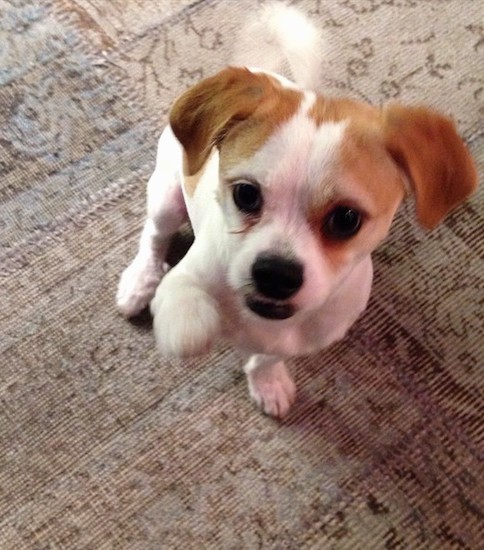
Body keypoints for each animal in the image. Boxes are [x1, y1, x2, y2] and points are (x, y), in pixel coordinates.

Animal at [116, 3, 476, 418]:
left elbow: (266, 357)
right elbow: (183, 293)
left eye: (347, 219)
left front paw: (267, 381)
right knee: (153, 236)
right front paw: (187, 323)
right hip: (168, 196)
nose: (275, 274)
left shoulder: (302, 338)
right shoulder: (190, 274)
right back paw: (139, 281)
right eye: (246, 195)